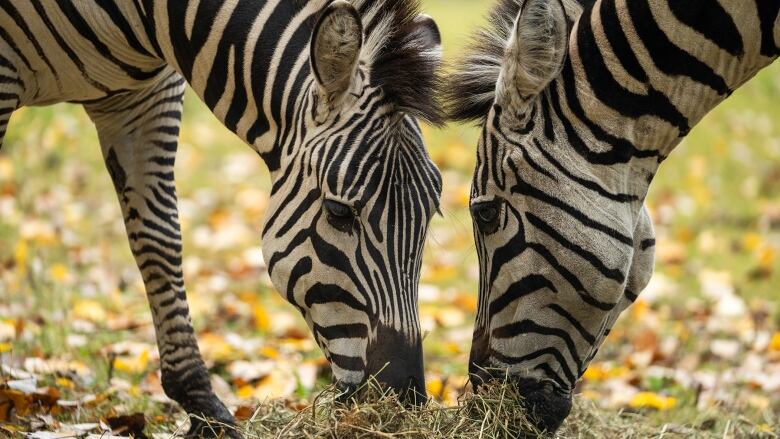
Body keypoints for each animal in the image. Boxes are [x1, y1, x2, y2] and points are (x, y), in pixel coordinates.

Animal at [1, 0, 444, 434]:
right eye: (339, 212)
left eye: (431, 215)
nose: (403, 399)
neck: (145, 16)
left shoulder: (144, 97)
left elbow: (159, 239)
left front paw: (204, 409)